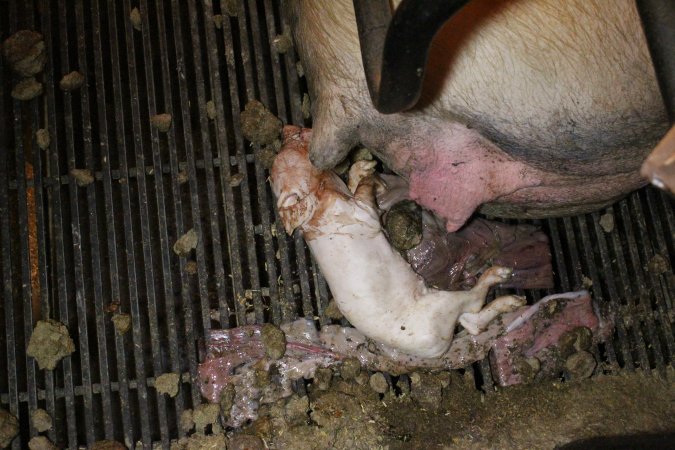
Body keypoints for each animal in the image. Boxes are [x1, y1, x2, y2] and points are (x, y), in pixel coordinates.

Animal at [270, 126, 525, 358]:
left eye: (291, 140)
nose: (287, 128)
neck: (320, 204)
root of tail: (437, 348)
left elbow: (355, 182)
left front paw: (364, 167)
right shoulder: (360, 213)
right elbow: (364, 191)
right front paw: (373, 177)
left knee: (473, 323)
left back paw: (511, 302)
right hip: (442, 303)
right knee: (474, 303)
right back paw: (506, 282)